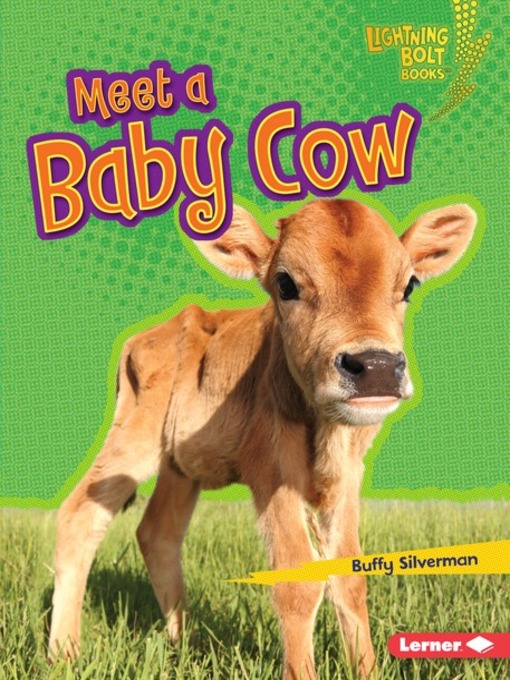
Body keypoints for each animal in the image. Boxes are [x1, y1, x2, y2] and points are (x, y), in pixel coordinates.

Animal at [48, 198, 476, 678]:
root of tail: (149, 334)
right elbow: (297, 577)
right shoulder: (271, 468)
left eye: (410, 284)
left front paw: (366, 669)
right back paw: (64, 652)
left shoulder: (349, 474)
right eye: (285, 283)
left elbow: (350, 575)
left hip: (180, 466)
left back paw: (184, 642)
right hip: (134, 439)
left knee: (158, 532)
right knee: (81, 513)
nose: (376, 366)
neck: (326, 433)